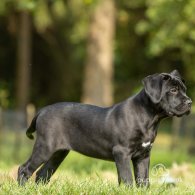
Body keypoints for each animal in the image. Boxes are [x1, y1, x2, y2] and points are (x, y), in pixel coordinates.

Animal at [18, 69, 192, 186]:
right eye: (173, 90)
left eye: (184, 90)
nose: (190, 102)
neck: (149, 117)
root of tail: (42, 110)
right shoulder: (122, 152)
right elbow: (127, 179)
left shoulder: (143, 155)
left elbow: (143, 180)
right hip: (45, 147)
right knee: (24, 168)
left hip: (58, 153)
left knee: (42, 173)